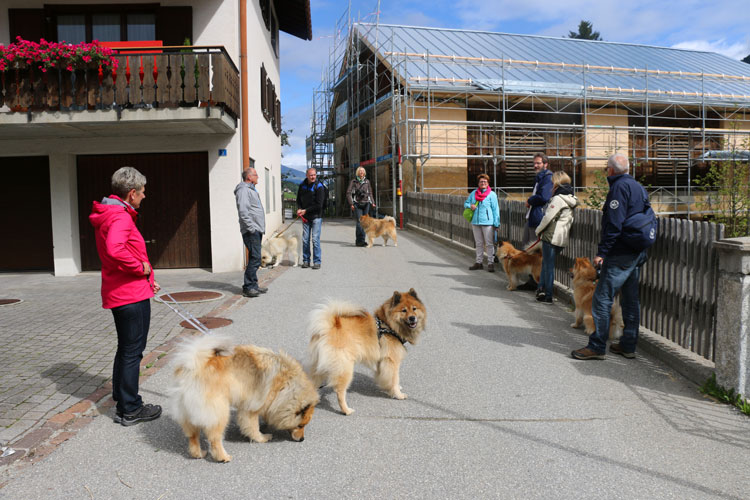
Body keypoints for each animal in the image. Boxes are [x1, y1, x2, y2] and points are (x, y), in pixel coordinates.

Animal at [170, 334, 320, 462]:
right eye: (300, 425)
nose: (302, 439)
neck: (286, 386)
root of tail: (192, 367)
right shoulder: (252, 408)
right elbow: (253, 426)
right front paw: (262, 437)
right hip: (219, 412)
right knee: (214, 438)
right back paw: (223, 457)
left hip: (189, 414)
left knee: (193, 437)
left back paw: (198, 454)